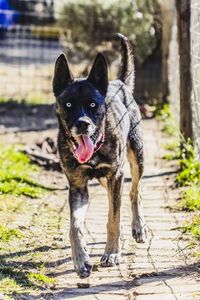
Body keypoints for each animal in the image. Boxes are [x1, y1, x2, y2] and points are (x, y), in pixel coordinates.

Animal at [52, 34, 147, 278]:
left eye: (93, 105)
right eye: (68, 104)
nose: (83, 124)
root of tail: (118, 83)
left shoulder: (116, 175)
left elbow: (113, 217)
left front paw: (112, 253)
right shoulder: (78, 187)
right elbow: (74, 226)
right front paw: (81, 260)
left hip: (136, 158)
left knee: (134, 192)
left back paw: (138, 226)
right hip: (108, 178)